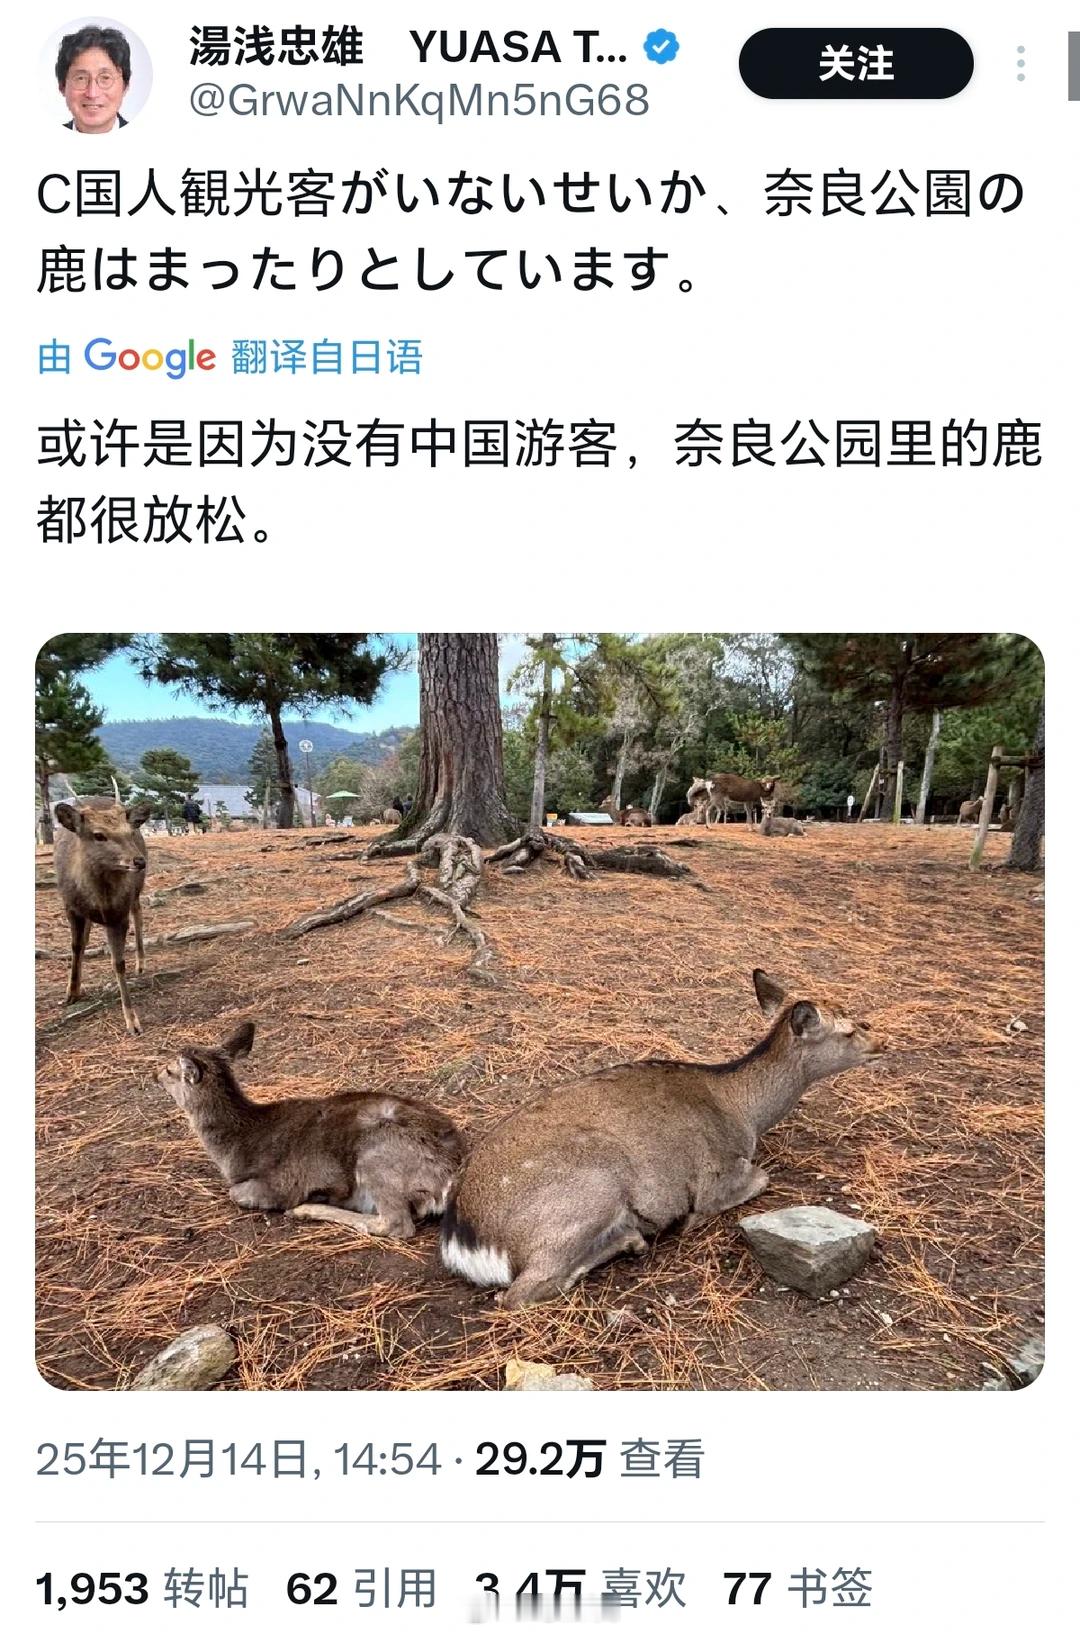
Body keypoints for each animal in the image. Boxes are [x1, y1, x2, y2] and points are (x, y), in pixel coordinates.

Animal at [53, 798, 152, 1036]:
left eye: (129, 832)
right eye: (98, 835)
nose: (139, 861)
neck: (101, 901)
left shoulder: (118, 915)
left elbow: (119, 963)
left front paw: (132, 1022)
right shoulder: (72, 908)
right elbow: (76, 947)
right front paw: (71, 992)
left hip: (135, 892)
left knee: (138, 912)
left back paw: (141, 963)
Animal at [158, 1022, 466, 1237]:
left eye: (170, 1070)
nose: (154, 1074)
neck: (234, 1148)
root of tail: (450, 1173)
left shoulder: (278, 1184)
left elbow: (237, 1193)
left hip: (376, 1156)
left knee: (396, 1224)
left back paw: (307, 1209)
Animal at [441, 969, 884, 1306]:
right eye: (847, 1029)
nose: (881, 1041)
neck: (745, 1112)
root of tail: (463, 1236)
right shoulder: (717, 1173)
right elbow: (758, 1179)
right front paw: (690, 1219)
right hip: (589, 1191)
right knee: (520, 1292)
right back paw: (631, 1239)